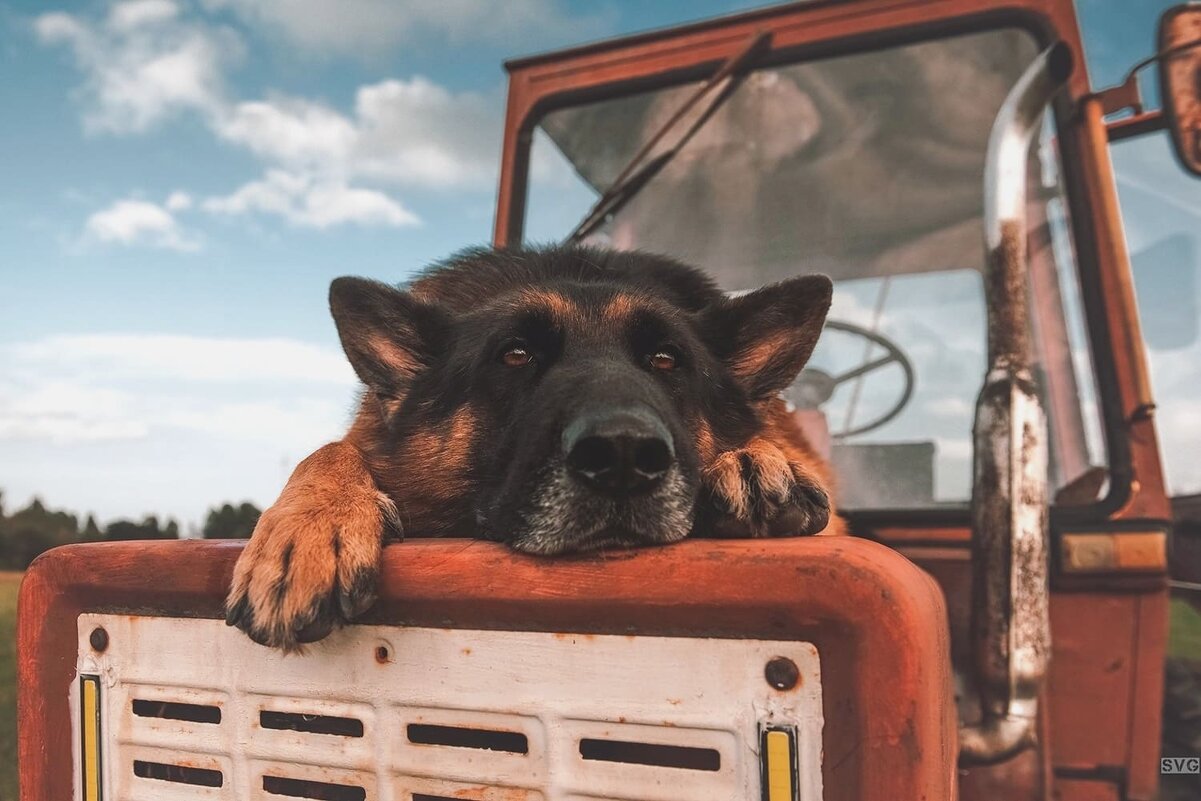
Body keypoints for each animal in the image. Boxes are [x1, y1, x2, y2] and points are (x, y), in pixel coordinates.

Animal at [225, 246, 845, 653]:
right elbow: (331, 449)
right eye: (515, 355)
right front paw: (307, 530)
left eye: (667, 360)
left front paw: (752, 460)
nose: (623, 454)